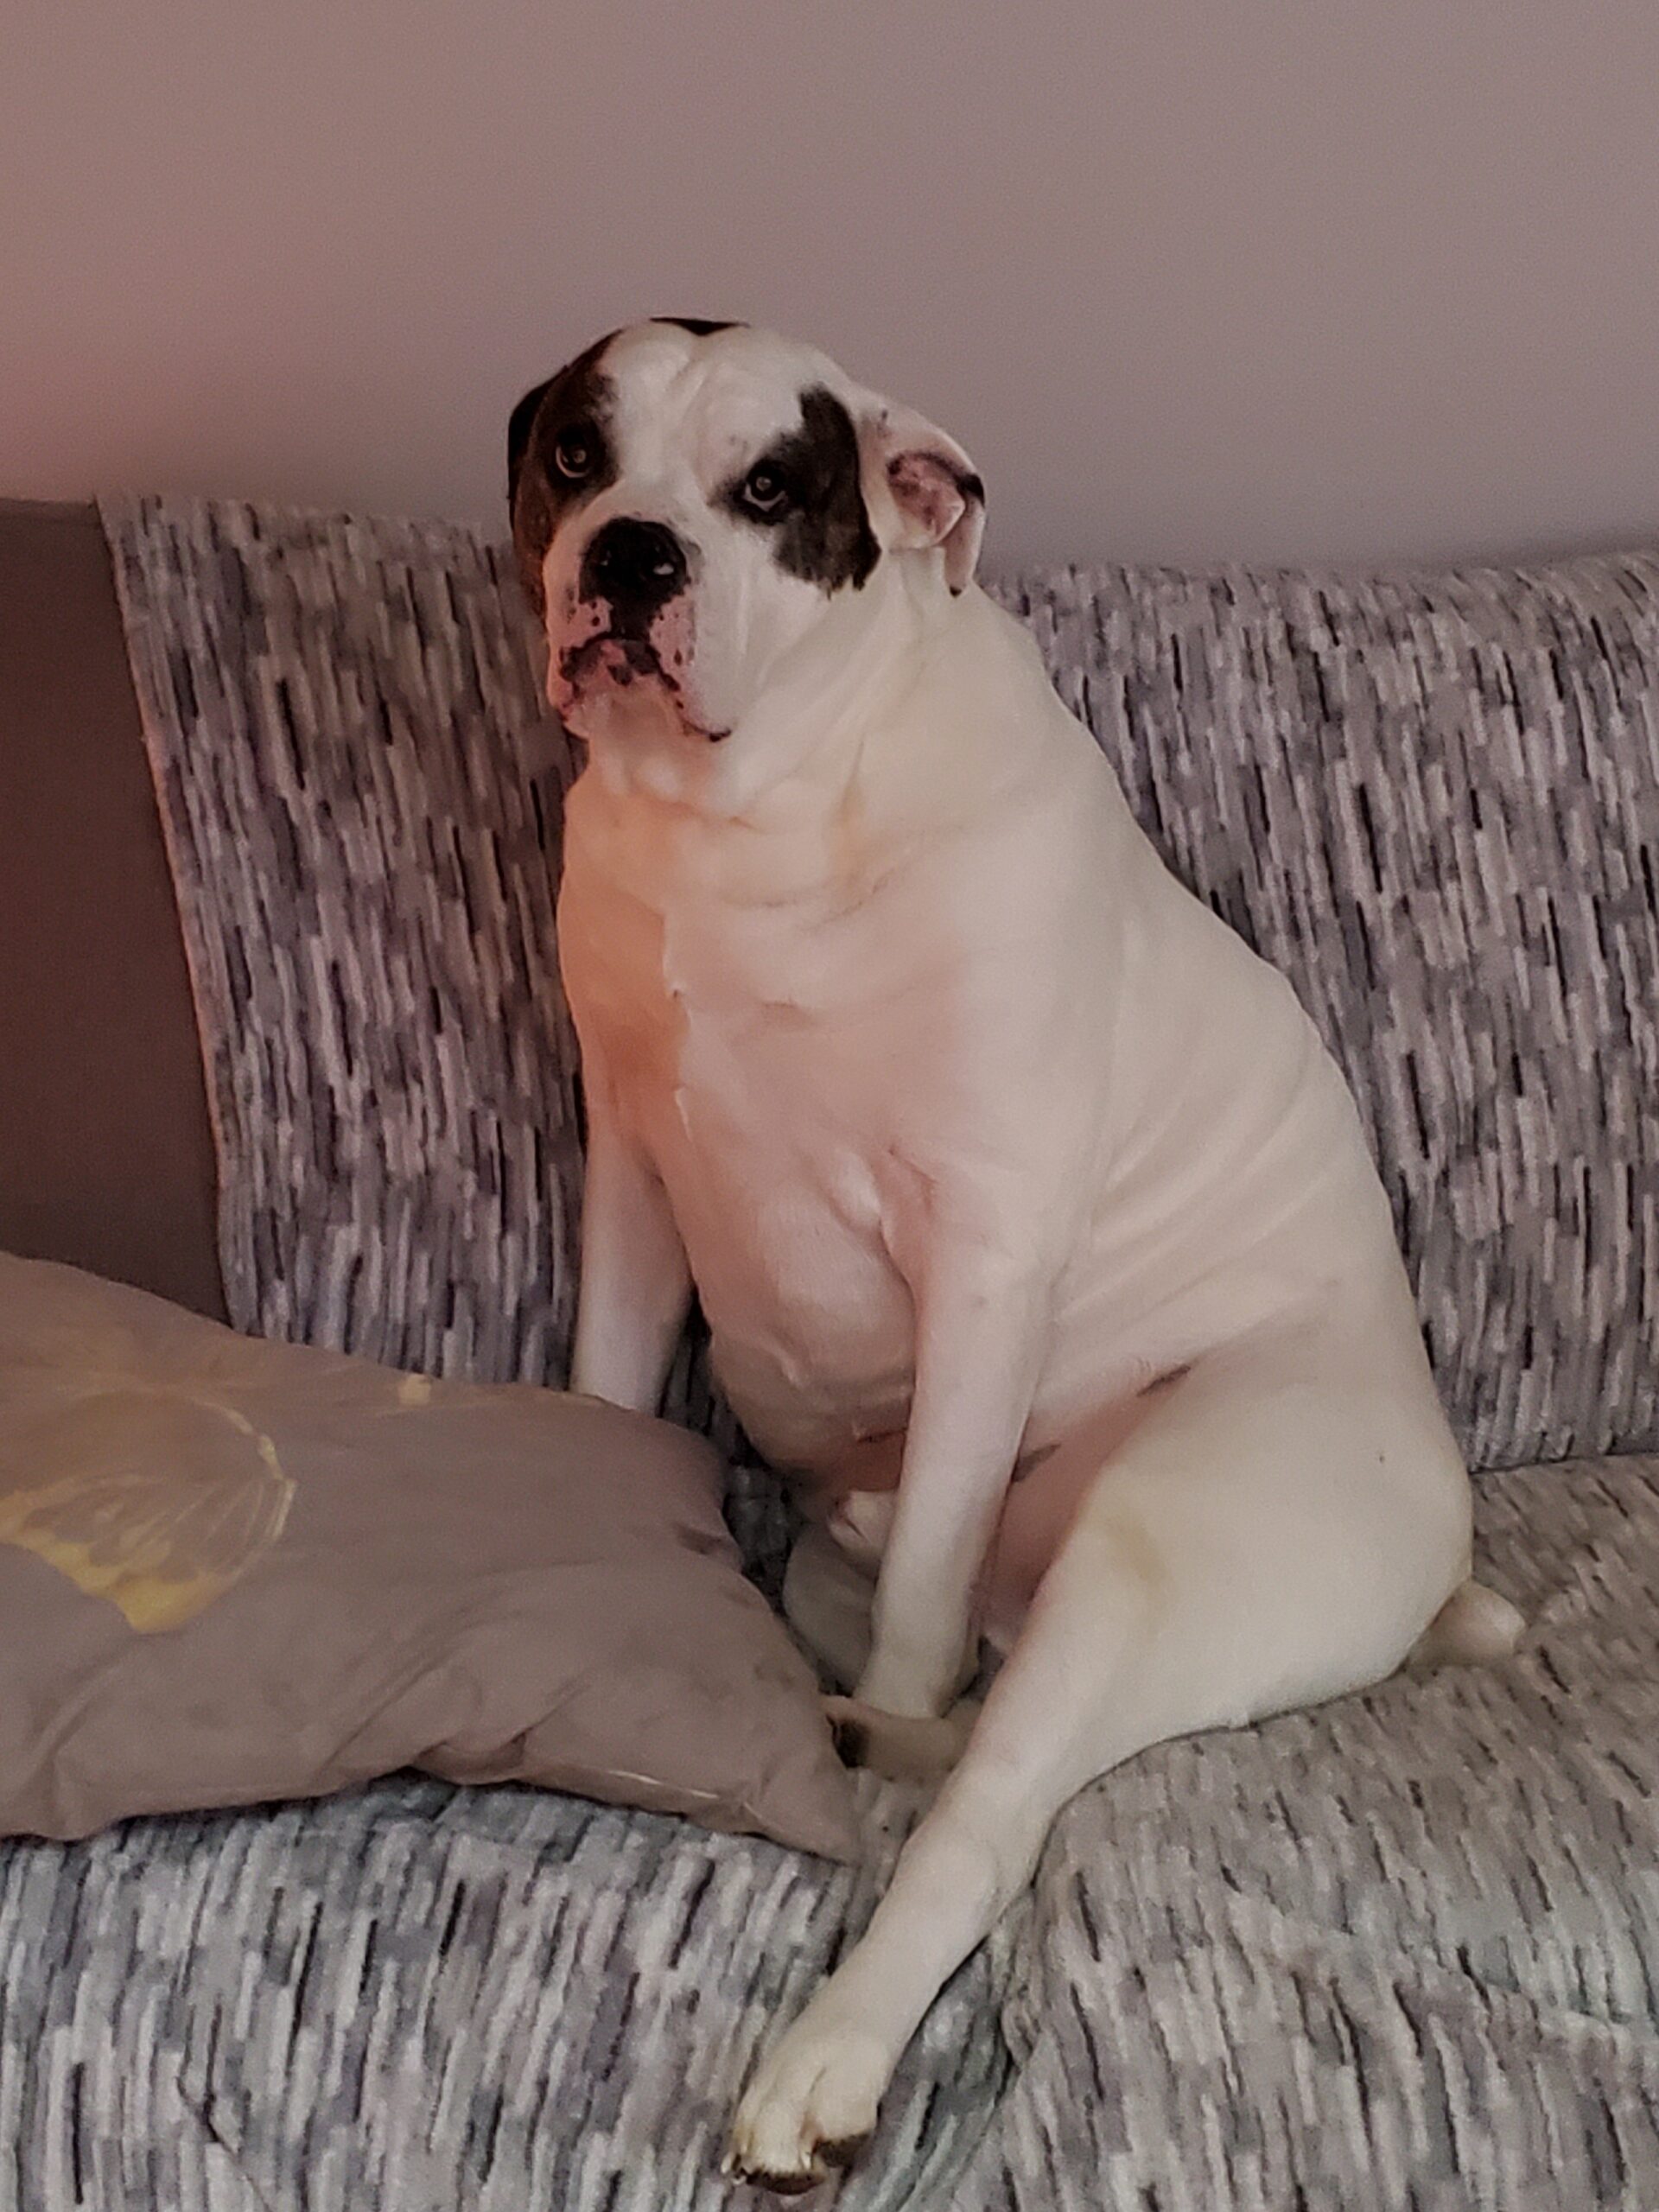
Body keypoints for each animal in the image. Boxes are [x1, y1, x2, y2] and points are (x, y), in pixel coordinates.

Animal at [508, 319, 1521, 2191]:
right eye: (576, 455)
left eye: (776, 486)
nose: (632, 554)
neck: (751, 816)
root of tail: (1443, 1564)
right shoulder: (630, 1186)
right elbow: (609, 1392)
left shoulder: (981, 1248)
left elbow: (926, 1603)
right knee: (949, 1722)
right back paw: (849, 1733)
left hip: (1140, 1557)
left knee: (981, 1812)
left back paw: (829, 2055)